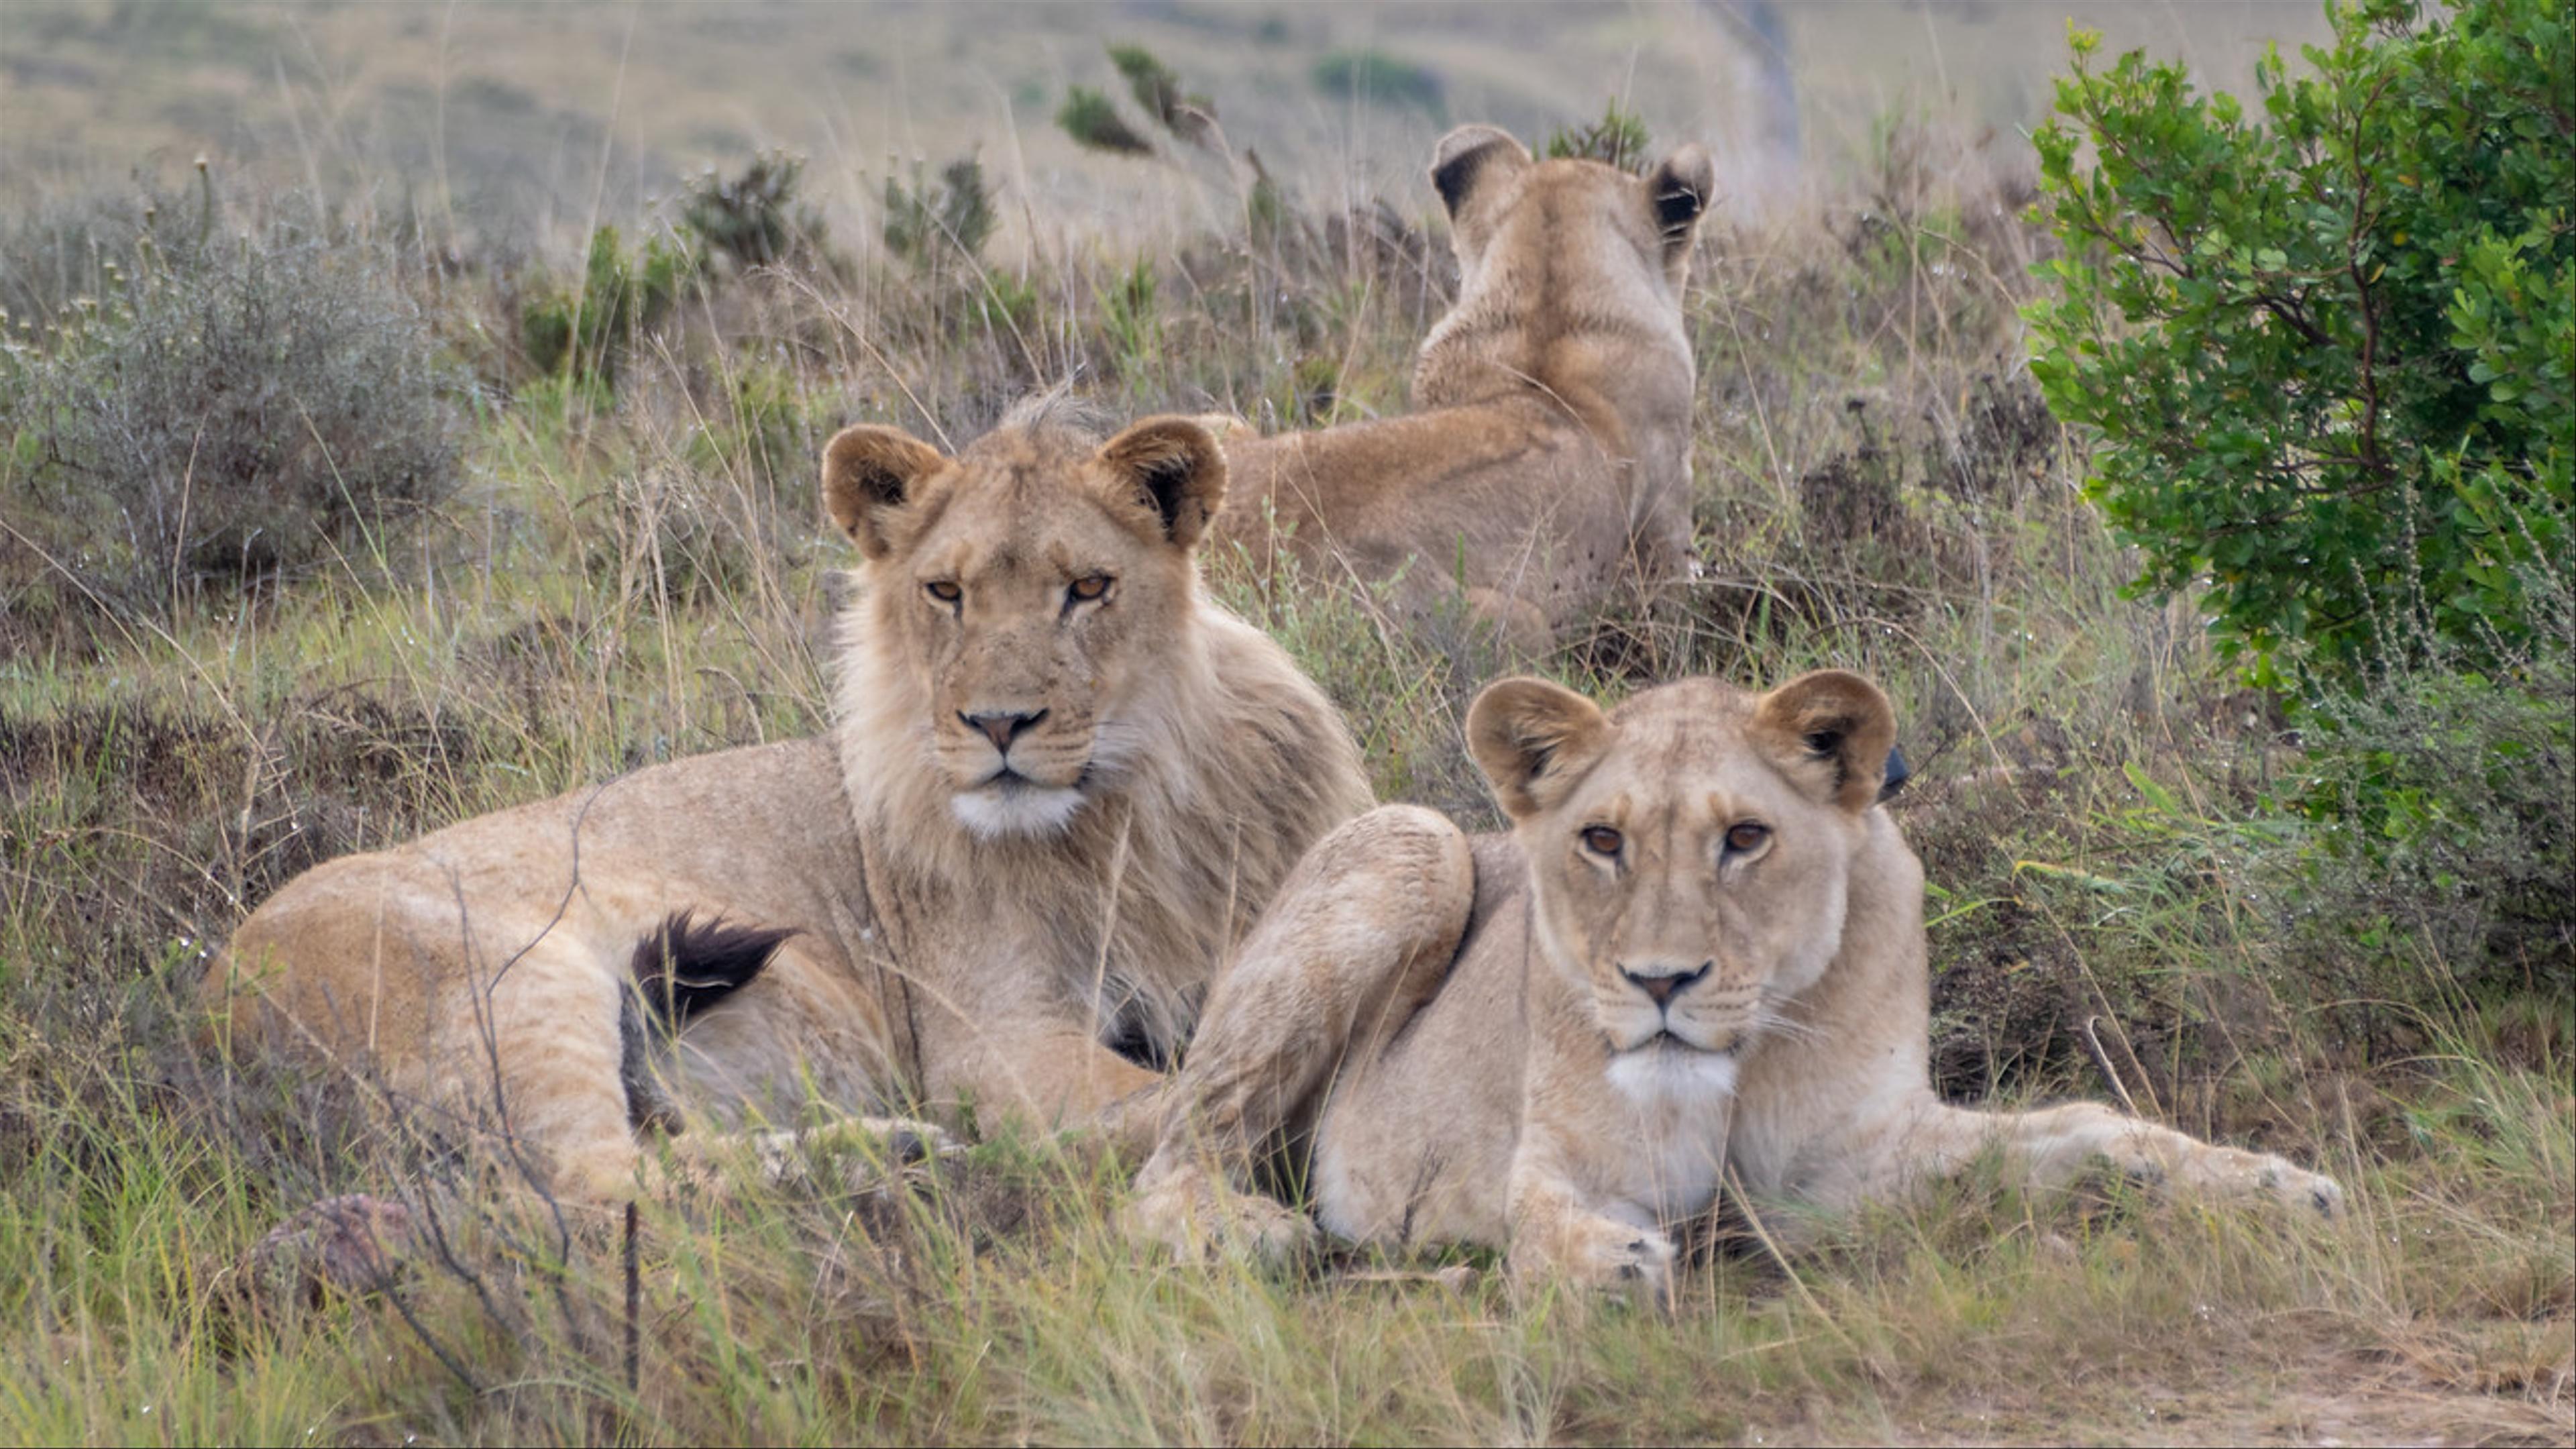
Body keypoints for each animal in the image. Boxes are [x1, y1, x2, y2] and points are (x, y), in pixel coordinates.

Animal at [203, 394, 1381, 1196]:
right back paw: (896, 1161)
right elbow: (1173, 1091)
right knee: (597, 1191)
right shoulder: (988, 1040)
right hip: (513, 982)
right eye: (944, 592)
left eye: (1087, 588)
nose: (999, 726)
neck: (1135, 813)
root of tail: (208, 1004)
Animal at [1123, 665, 2339, 1284]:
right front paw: (1611, 1261)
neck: (1745, 1059)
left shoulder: (1838, 1171)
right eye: (1602, 840)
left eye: (1745, 839)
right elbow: (1540, 1219)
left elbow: (2087, 1126)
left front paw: (2276, 1184)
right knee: (1171, 1161)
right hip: (1413, 840)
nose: (1661, 982)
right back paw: (1248, 1235)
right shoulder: (1566, 1159)